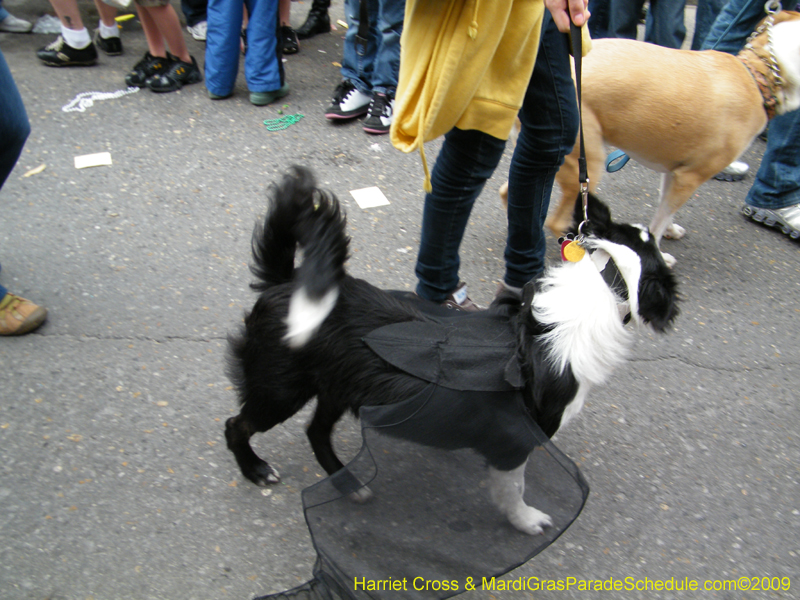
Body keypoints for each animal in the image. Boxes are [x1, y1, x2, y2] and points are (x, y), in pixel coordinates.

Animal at [223, 168, 676, 536]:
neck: (602, 282)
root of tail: (286, 281)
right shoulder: (515, 442)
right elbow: (514, 490)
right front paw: (525, 521)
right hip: (280, 390)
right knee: (236, 426)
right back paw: (256, 470)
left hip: (336, 387)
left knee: (315, 433)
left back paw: (348, 487)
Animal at [540, 9, 800, 264]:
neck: (759, 75)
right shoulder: (689, 178)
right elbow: (660, 220)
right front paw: (656, 252)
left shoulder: (675, 172)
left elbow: (664, 209)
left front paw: (670, 230)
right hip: (588, 162)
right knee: (557, 223)